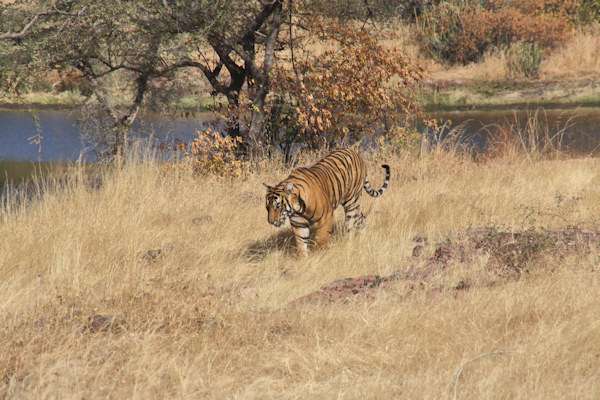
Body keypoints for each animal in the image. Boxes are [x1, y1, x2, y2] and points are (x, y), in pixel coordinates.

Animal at [262, 148, 390, 256]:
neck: (297, 209)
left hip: (351, 201)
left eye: (278, 206)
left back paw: (349, 243)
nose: (271, 222)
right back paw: (363, 238)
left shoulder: (326, 216)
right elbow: (301, 244)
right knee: (361, 218)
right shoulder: (299, 224)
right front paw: (304, 260)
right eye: (268, 208)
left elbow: (320, 238)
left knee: (351, 224)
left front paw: (326, 249)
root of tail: (355, 153)